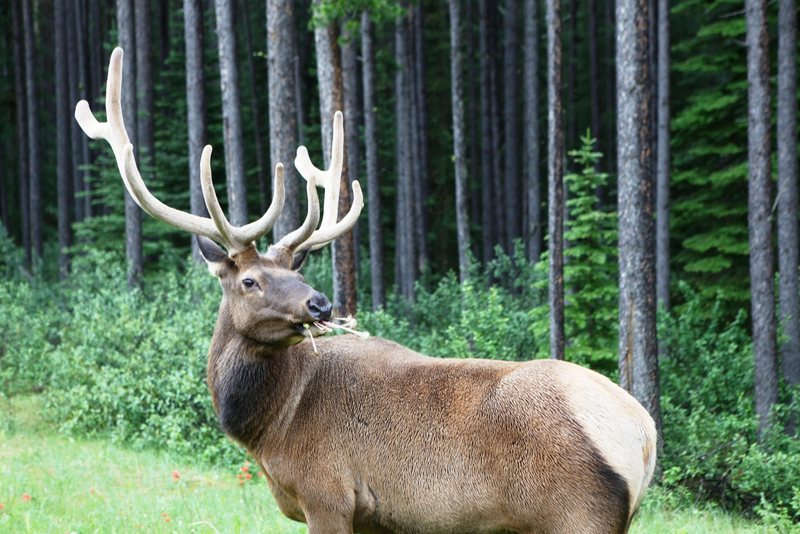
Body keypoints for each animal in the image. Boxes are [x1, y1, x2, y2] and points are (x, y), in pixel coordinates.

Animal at [76, 47, 656, 534]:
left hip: (576, 514)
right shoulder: (380, 517)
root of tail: (645, 435)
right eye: (251, 280)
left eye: (297, 275)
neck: (269, 429)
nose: (320, 302)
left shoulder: (327, 494)